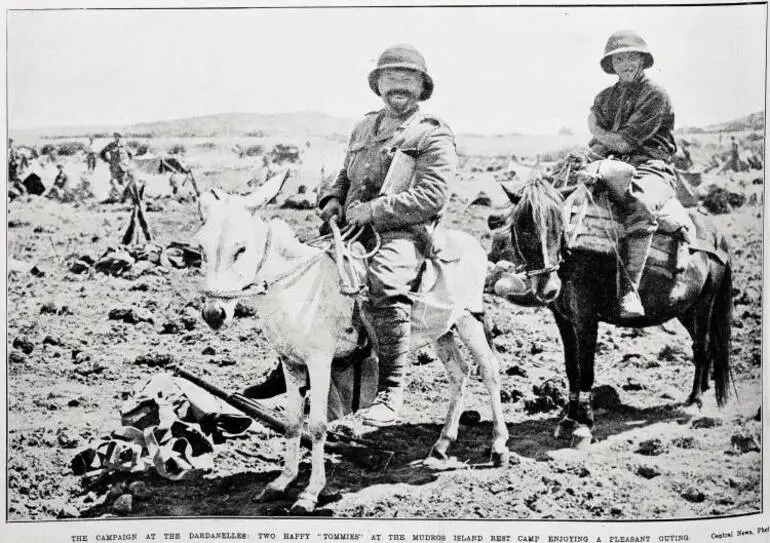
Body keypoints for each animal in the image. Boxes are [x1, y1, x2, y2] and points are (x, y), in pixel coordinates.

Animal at [492, 180, 732, 450]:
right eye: (523, 229)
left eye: (559, 227)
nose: (548, 289)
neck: (573, 259)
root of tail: (717, 236)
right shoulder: (563, 320)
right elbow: (571, 368)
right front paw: (567, 419)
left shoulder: (586, 320)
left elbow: (586, 370)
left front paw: (584, 425)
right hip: (686, 309)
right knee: (704, 347)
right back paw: (703, 389)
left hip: (704, 305)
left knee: (701, 347)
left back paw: (694, 401)